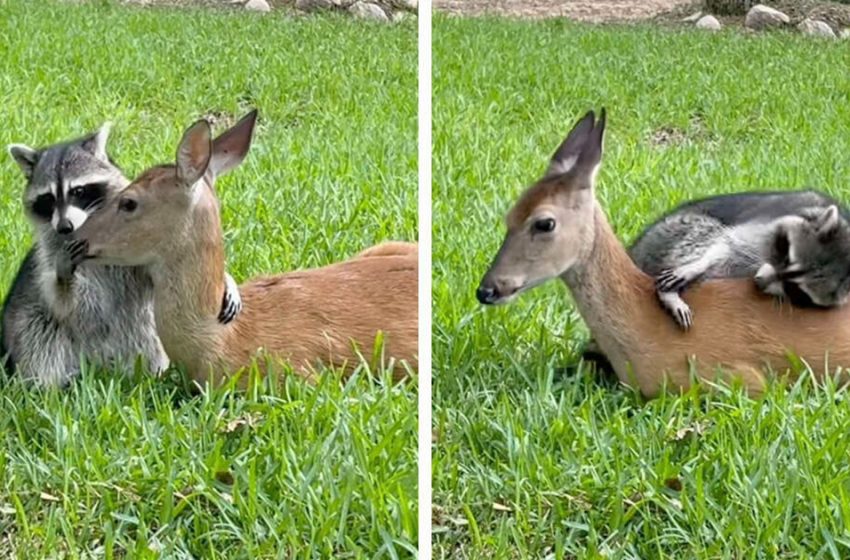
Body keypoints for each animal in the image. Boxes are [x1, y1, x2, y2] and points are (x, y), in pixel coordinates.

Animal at [3, 123, 242, 388]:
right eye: (48, 199)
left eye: (78, 191)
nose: (64, 227)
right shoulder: (49, 257)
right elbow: (74, 304)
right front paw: (65, 276)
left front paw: (228, 280)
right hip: (31, 327)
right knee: (40, 338)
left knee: (145, 335)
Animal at [628, 190, 848, 330]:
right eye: (785, 255)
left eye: (796, 290)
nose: (759, 281)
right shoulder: (767, 222)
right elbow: (727, 243)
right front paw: (697, 265)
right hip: (670, 231)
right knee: (705, 232)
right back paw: (669, 292)